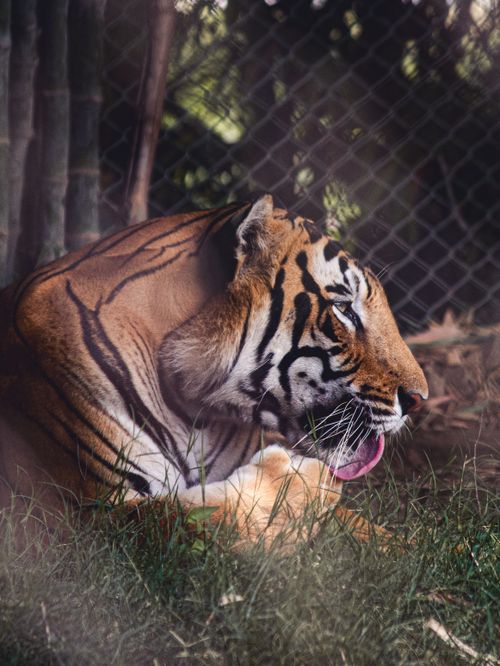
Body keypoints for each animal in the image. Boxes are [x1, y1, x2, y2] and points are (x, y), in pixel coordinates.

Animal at [0, 194, 427, 544]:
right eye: (343, 309)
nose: (419, 399)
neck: (197, 414)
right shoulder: (99, 512)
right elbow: (217, 518)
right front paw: (302, 479)